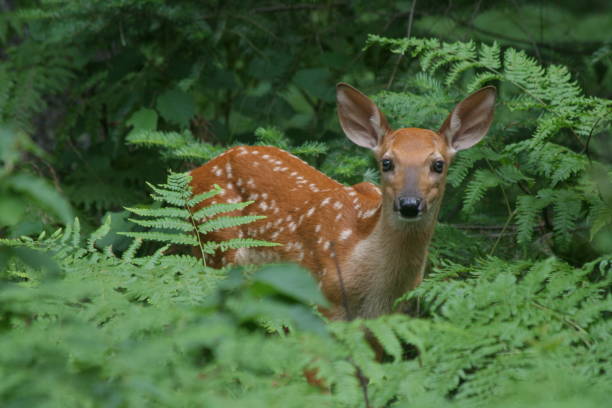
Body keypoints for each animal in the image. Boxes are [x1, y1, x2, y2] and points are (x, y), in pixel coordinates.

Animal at [189, 83, 494, 318]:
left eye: (438, 164)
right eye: (386, 162)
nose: (409, 204)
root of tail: (197, 171)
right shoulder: (326, 299)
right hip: (217, 250)